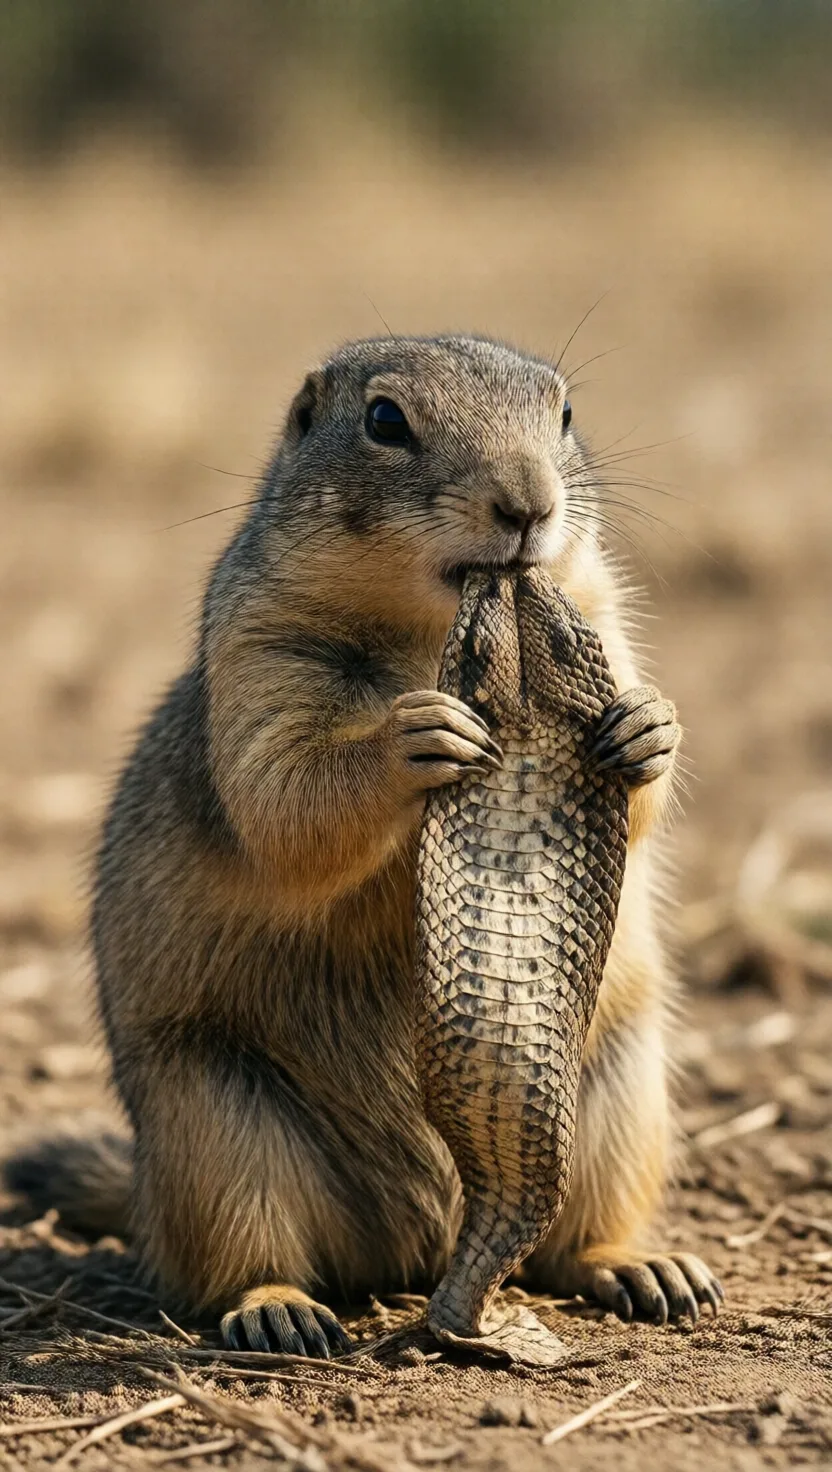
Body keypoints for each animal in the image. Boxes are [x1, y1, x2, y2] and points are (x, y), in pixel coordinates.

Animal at [6, 334, 722, 1356]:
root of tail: (418, 1247)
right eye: (386, 421)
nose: (529, 504)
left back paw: (642, 1267)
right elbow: (284, 795)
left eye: (566, 412)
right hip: (210, 1127)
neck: (429, 632)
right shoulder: (262, 654)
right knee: (237, 1258)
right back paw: (279, 1311)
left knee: (567, 1244)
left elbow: (642, 774)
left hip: (622, 1093)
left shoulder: (604, 611)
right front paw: (410, 738)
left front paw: (648, 726)